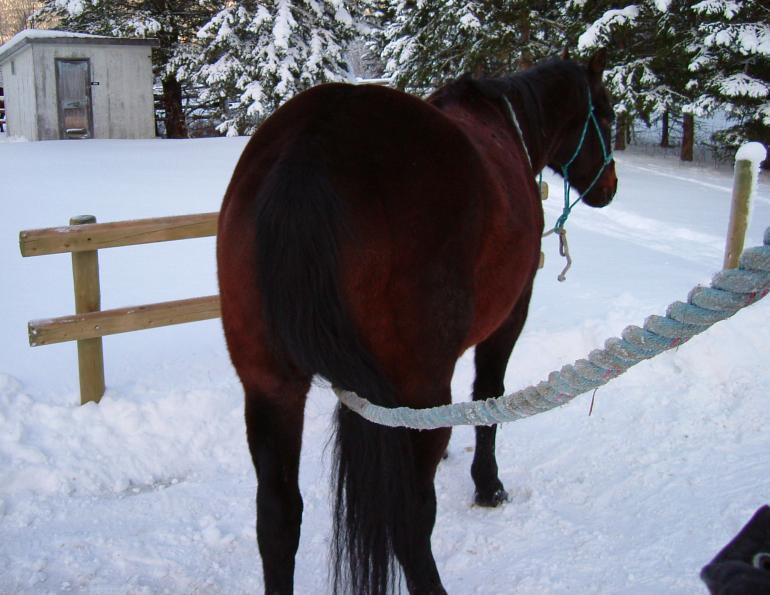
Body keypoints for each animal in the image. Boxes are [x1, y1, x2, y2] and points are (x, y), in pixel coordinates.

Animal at [217, 48, 617, 595]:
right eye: (610, 116)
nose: (610, 187)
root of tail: (312, 145)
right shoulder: (510, 315)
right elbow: (488, 396)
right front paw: (488, 484)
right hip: (415, 387)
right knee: (410, 519)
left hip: (270, 387)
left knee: (278, 520)